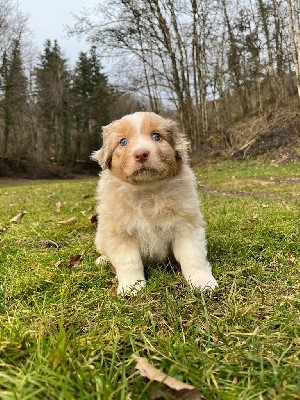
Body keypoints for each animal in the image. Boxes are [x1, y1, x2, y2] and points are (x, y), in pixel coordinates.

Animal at [92, 111, 218, 294]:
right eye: (123, 142)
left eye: (156, 136)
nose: (141, 154)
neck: (147, 191)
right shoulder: (119, 233)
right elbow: (129, 262)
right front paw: (131, 287)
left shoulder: (186, 226)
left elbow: (193, 256)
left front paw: (202, 281)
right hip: (100, 237)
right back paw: (102, 260)